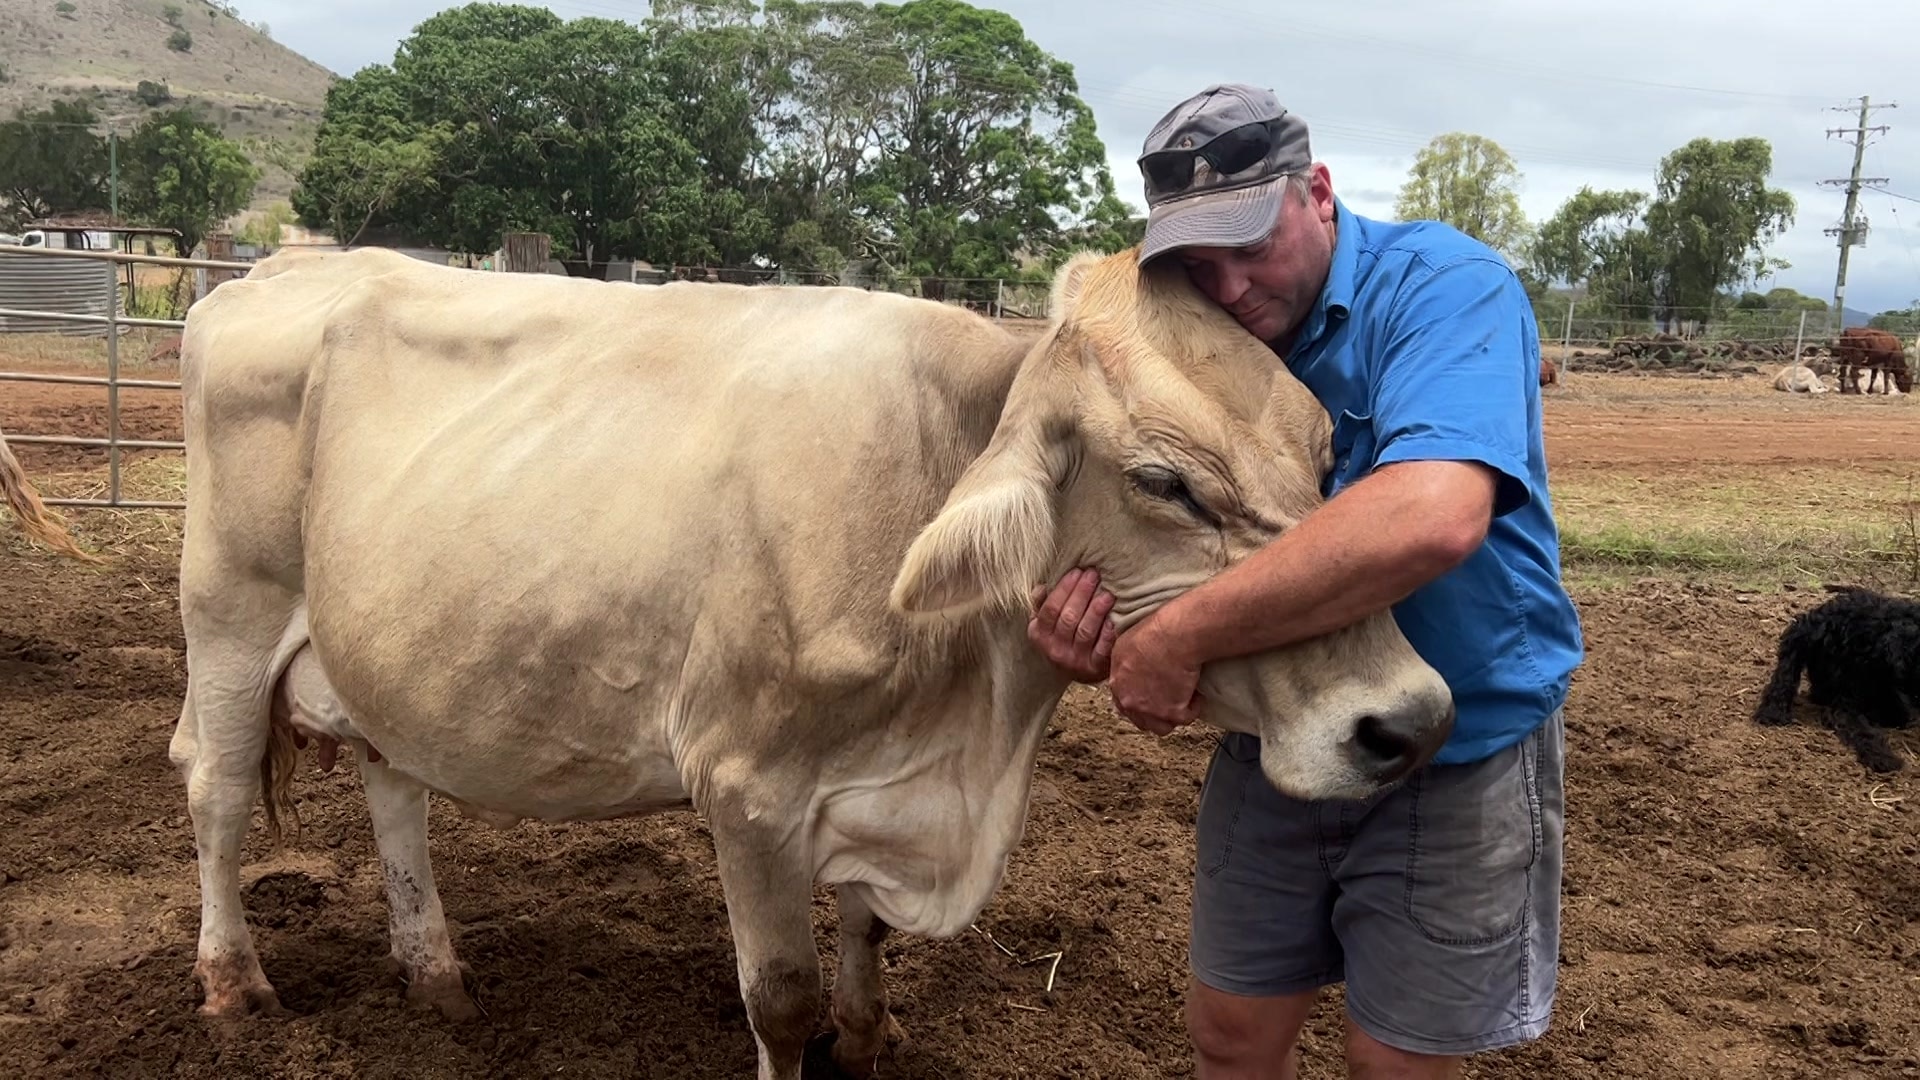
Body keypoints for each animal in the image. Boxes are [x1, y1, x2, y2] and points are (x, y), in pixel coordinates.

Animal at [170, 245, 1456, 1079]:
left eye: (1326, 448)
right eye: (1165, 483)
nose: (1407, 721)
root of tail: (286, 267)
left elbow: (868, 934)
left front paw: (870, 1032)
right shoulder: (746, 786)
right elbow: (778, 1003)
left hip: (380, 647)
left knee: (394, 789)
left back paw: (434, 972)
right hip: (227, 618)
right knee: (215, 794)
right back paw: (234, 989)